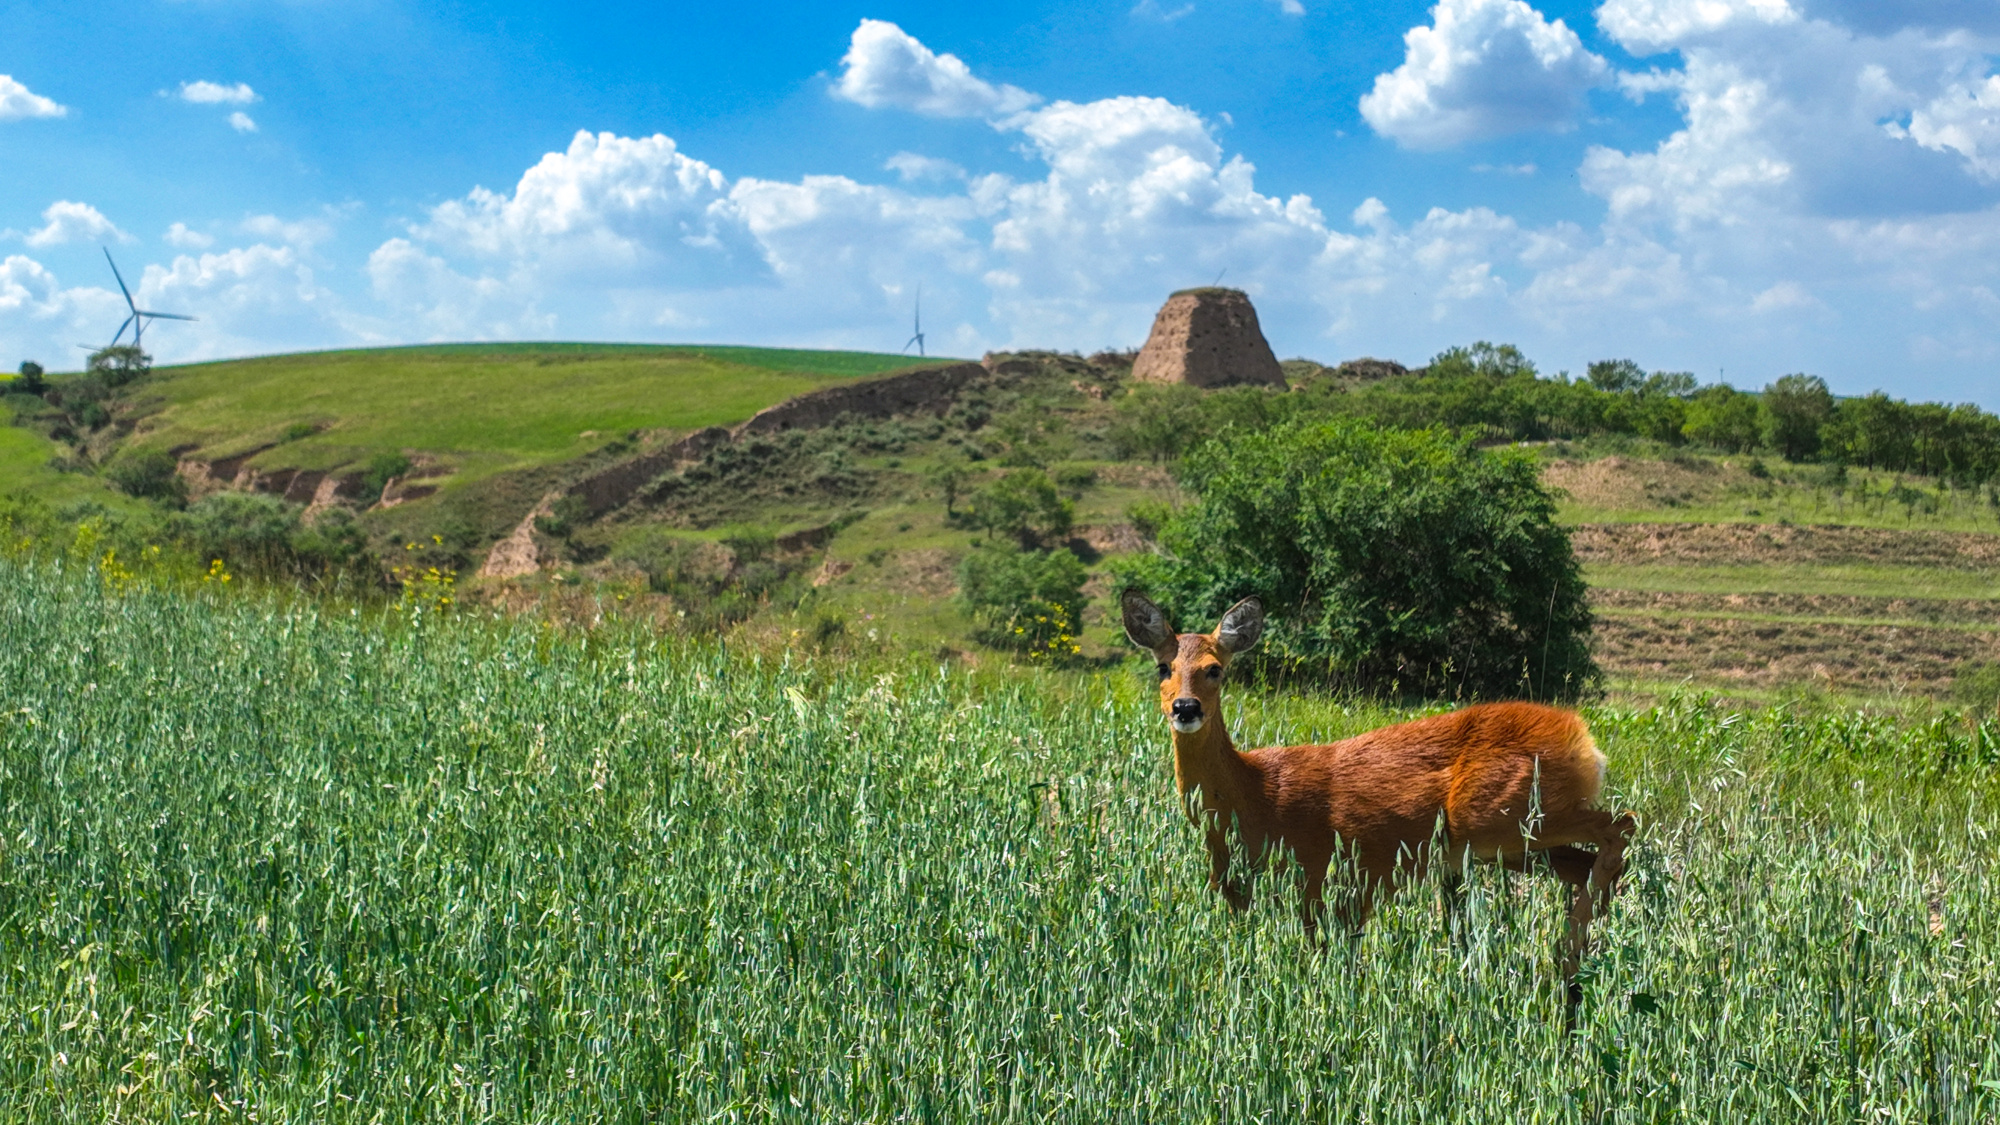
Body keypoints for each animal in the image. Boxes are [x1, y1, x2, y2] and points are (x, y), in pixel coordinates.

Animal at [1122, 589, 1636, 992]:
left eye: (1215, 669)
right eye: (1163, 667)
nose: (1185, 707)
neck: (1252, 797)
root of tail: (1582, 738)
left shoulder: (1317, 876)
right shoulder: (1242, 893)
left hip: (1502, 814)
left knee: (1621, 826)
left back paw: (1570, 959)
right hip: (1508, 843)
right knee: (1591, 863)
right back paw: (1577, 961)